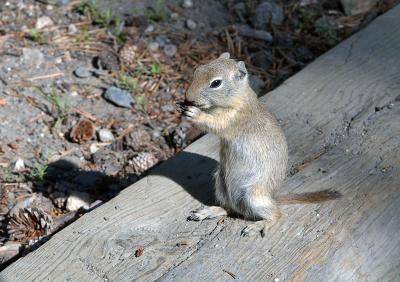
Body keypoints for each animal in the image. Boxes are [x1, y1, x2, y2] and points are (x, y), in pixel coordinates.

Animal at [178, 52, 340, 236]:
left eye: (216, 83)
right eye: (197, 70)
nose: (188, 97)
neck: (239, 98)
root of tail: (273, 198)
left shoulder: (234, 119)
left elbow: (214, 124)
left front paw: (195, 113)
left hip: (253, 197)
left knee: (277, 214)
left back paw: (260, 225)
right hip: (221, 185)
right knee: (228, 209)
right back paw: (209, 211)